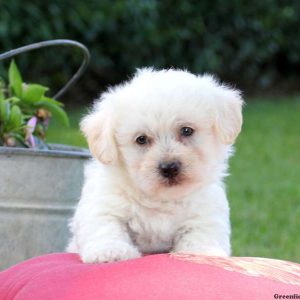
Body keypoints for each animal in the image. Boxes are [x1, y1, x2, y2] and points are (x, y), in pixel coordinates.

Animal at [67, 68, 243, 262]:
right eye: (141, 139)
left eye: (186, 130)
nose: (169, 167)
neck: (161, 199)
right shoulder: (103, 204)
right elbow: (105, 226)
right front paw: (111, 251)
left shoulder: (206, 213)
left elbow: (201, 233)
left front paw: (202, 252)